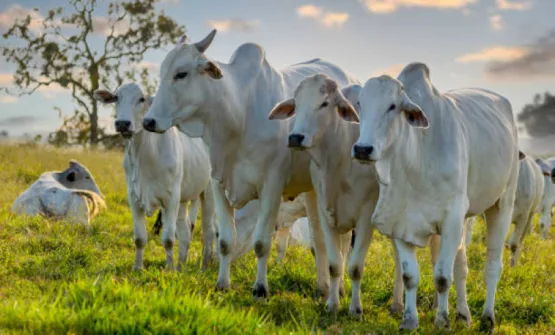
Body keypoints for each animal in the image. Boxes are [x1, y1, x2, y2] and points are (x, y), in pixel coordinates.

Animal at [93, 82, 215, 272]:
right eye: (116, 97)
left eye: (142, 99)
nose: (122, 123)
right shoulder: (134, 198)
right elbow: (140, 238)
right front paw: (138, 267)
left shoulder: (171, 198)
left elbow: (168, 239)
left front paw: (169, 270)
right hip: (183, 199)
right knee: (185, 231)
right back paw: (181, 265)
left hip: (208, 192)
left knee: (208, 232)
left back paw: (203, 267)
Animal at [143, 29, 358, 300]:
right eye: (162, 71)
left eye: (181, 74)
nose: (148, 121)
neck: (239, 113)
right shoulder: (218, 183)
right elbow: (226, 240)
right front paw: (222, 283)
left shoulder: (272, 187)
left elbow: (261, 242)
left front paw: (260, 289)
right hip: (312, 190)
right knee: (319, 240)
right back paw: (322, 288)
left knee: (342, 243)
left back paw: (337, 290)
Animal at [350, 64, 524, 332]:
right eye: (360, 103)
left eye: (392, 106)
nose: (362, 149)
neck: (416, 159)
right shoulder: (399, 221)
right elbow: (410, 276)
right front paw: (409, 320)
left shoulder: (451, 220)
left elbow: (442, 276)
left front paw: (442, 320)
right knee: (461, 266)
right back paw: (463, 314)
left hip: (502, 203)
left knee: (492, 266)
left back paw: (487, 317)